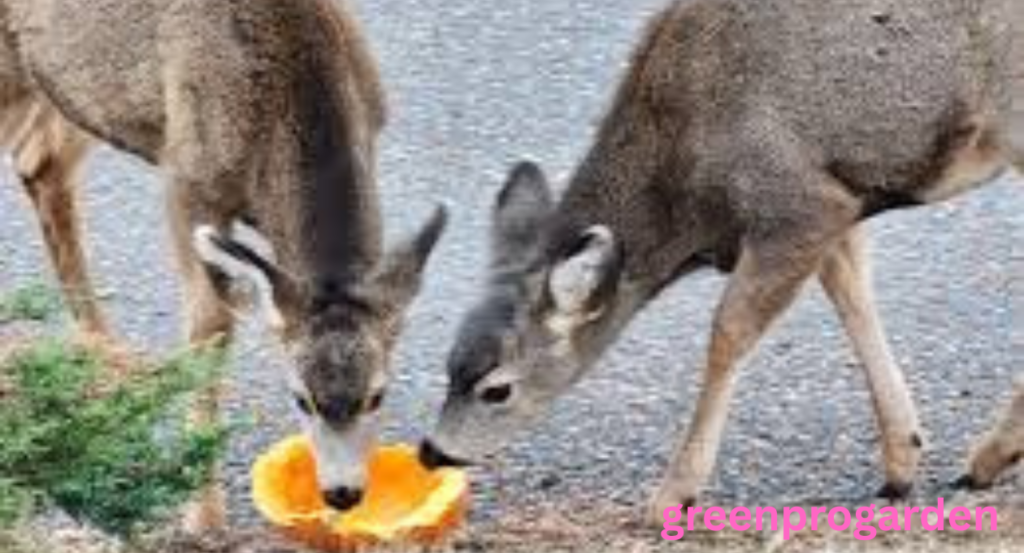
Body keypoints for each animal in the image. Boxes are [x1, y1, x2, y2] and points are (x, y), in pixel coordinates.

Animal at [1, 0, 446, 532]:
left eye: (376, 395)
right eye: (300, 397)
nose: (342, 493)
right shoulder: (188, 177)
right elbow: (213, 325)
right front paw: (203, 509)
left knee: (38, 161)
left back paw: (108, 355)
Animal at [419, 0, 1024, 523]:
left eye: (497, 388)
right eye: (449, 364)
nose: (433, 451)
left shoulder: (798, 201)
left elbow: (728, 332)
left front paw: (674, 493)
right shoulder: (837, 199)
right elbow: (851, 295)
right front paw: (902, 460)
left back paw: (990, 457)